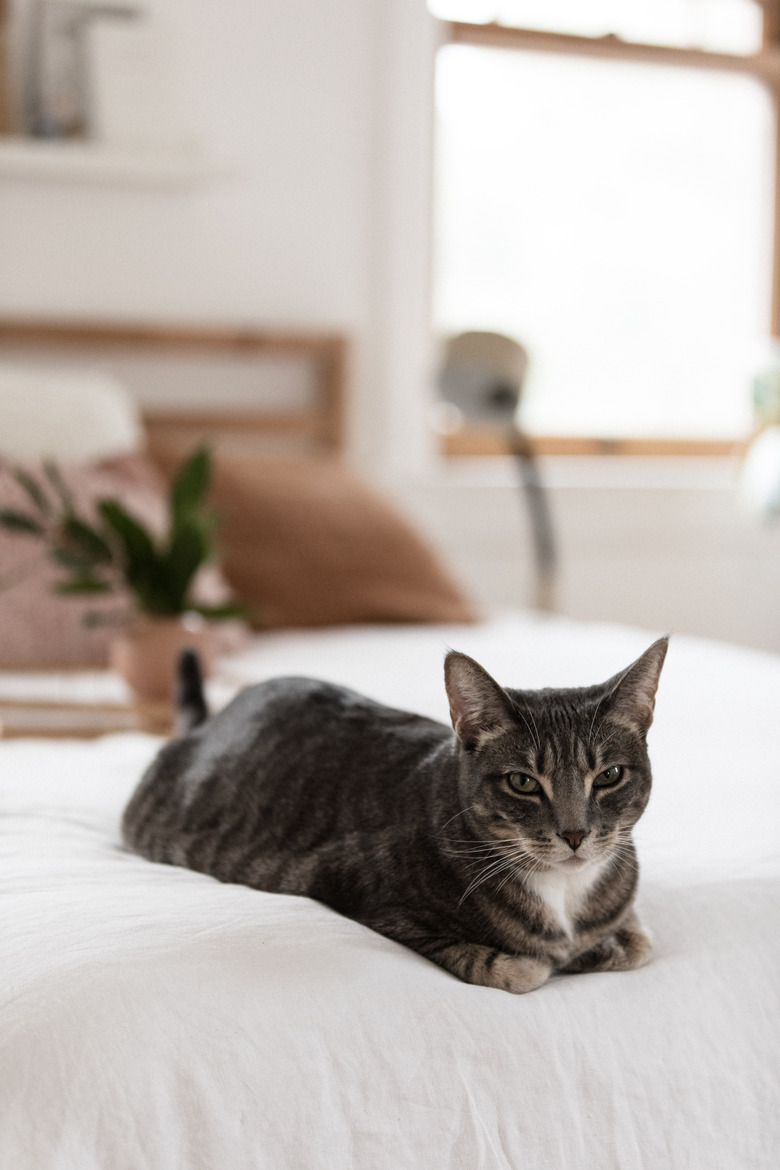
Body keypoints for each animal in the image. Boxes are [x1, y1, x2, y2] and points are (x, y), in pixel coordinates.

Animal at [123, 641, 673, 996]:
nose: (575, 834)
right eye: (522, 782)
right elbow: (517, 968)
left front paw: (601, 946)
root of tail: (209, 721)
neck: (562, 892)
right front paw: (558, 958)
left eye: (609, 776)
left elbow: (639, 941)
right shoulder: (385, 912)